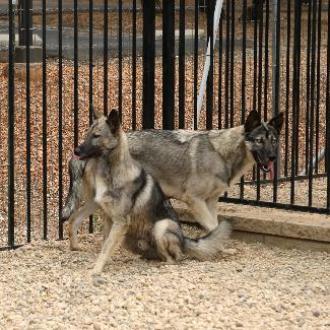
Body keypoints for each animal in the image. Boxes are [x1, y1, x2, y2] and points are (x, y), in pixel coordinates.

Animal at [62, 109, 284, 233]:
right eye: (259, 141)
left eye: (274, 141)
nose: (274, 157)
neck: (221, 153)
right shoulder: (195, 201)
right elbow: (212, 226)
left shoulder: (211, 202)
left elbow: (214, 224)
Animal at [66, 109, 232, 274]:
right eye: (87, 134)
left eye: (96, 136)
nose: (76, 150)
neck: (110, 174)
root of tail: (184, 239)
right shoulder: (109, 218)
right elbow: (105, 244)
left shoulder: (120, 222)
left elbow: (106, 248)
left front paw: (96, 270)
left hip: (161, 227)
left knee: (174, 259)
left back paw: (162, 265)